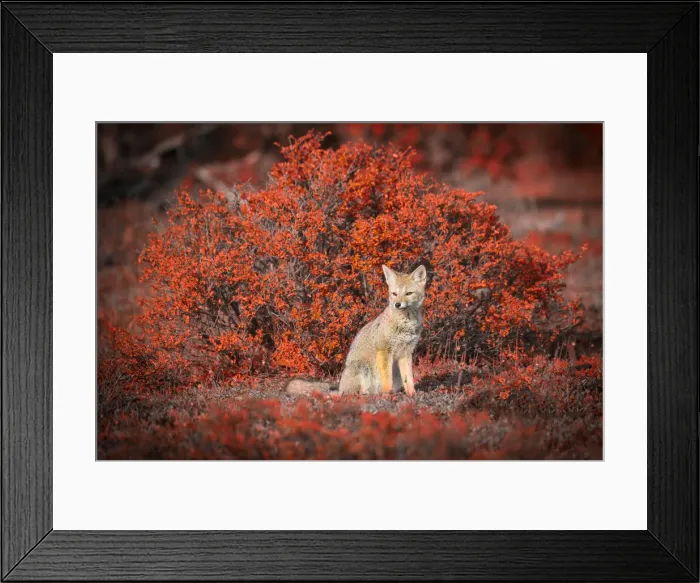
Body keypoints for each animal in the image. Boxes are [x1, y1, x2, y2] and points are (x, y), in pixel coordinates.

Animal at [285, 264, 426, 396]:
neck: (405, 325)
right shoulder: (384, 350)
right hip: (362, 368)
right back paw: (366, 394)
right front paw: (387, 393)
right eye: (394, 294)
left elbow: (409, 378)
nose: (397, 304)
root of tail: (339, 387)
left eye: (408, 293)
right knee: (351, 393)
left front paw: (412, 393)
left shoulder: (406, 352)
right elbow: (387, 378)